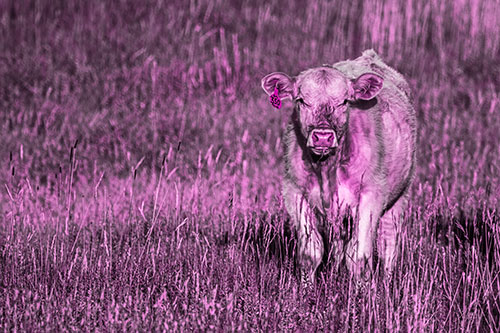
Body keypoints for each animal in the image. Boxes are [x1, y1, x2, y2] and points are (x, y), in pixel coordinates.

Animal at [260, 49, 416, 282]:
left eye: (344, 101)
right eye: (302, 100)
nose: (323, 137)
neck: (326, 169)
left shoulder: (371, 196)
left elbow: (359, 257)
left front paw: (361, 291)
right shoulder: (295, 193)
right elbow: (310, 253)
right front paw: (305, 288)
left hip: (400, 195)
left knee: (388, 242)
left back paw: (388, 280)